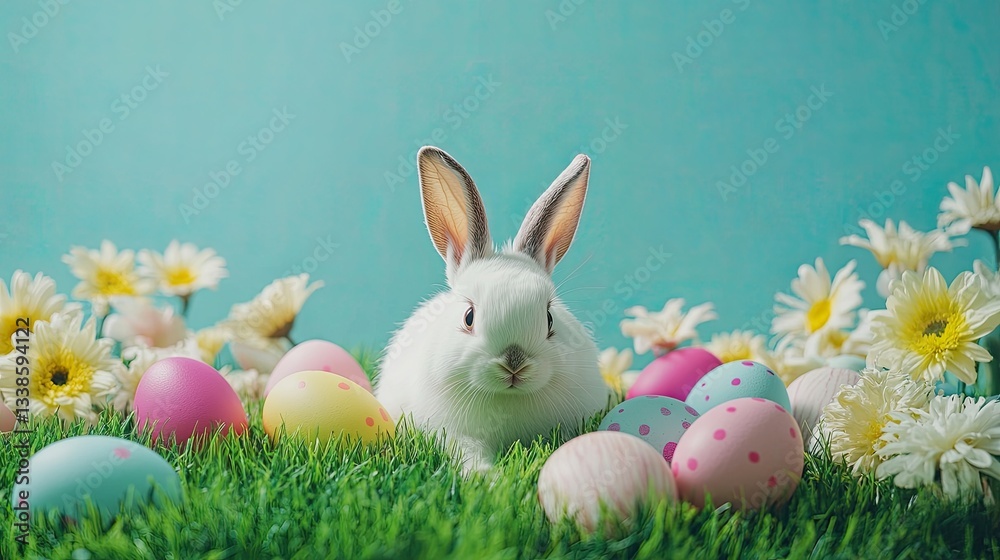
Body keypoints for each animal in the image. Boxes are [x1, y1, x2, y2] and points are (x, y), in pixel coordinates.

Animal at [375, 146, 612, 473]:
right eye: (469, 317)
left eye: (549, 318)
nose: (514, 362)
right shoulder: (453, 434)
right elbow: (469, 456)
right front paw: (488, 478)